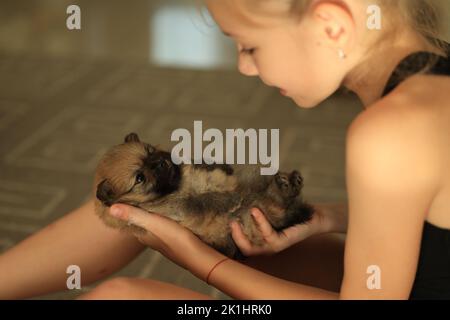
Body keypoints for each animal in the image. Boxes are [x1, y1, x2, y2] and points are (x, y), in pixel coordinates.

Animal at [93, 133, 314, 260]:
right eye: (139, 178)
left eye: (151, 151)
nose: (159, 163)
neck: (177, 184)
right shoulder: (179, 207)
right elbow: (204, 200)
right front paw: (229, 199)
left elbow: (206, 165)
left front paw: (218, 166)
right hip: (253, 219)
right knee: (276, 207)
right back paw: (283, 189)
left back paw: (285, 183)